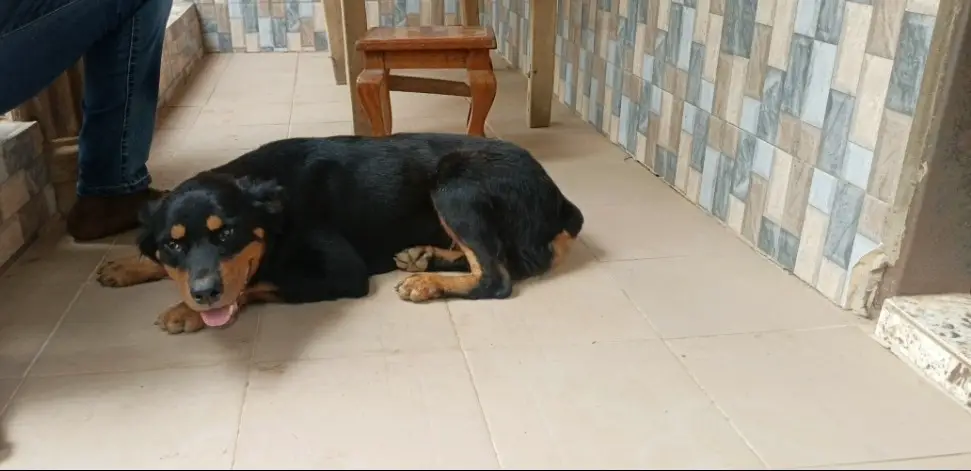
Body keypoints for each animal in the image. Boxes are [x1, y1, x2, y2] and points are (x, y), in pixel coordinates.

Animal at [95, 131, 584, 334]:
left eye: (226, 233)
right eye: (173, 243)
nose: (203, 294)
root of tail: (560, 200)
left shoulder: (343, 272)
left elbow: (258, 281)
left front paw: (185, 311)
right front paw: (126, 266)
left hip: (454, 181)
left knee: (495, 276)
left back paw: (426, 281)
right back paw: (424, 257)